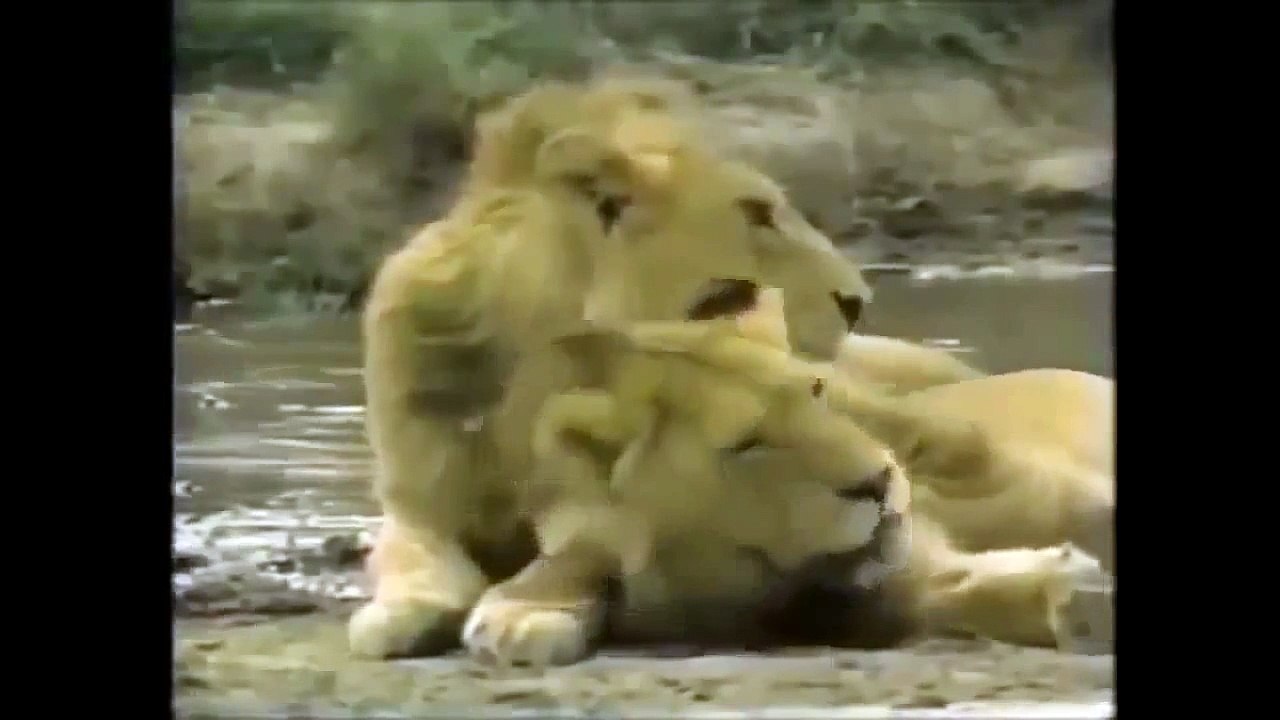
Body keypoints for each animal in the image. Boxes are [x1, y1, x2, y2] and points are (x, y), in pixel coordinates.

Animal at [349, 78, 878, 660]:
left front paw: (525, 613)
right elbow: (412, 553)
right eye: (757, 213)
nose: (857, 302)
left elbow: (574, 554)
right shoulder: (414, 500)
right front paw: (398, 610)